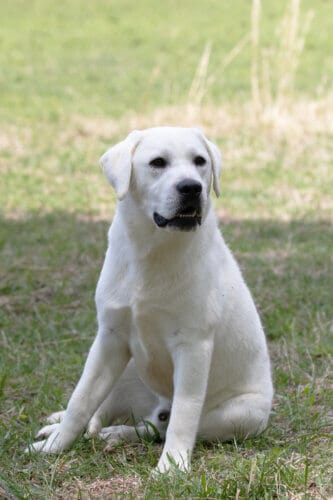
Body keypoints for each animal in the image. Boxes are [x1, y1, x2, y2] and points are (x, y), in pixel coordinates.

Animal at [28, 127, 272, 470]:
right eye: (158, 162)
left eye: (200, 161)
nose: (191, 188)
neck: (153, 250)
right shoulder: (110, 338)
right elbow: (81, 399)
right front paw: (54, 446)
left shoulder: (193, 346)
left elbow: (184, 414)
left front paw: (172, 467)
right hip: (125, 365)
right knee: (112, 412)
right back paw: (68, 426)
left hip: (238, 414)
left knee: (159, 426)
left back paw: (119, 434)